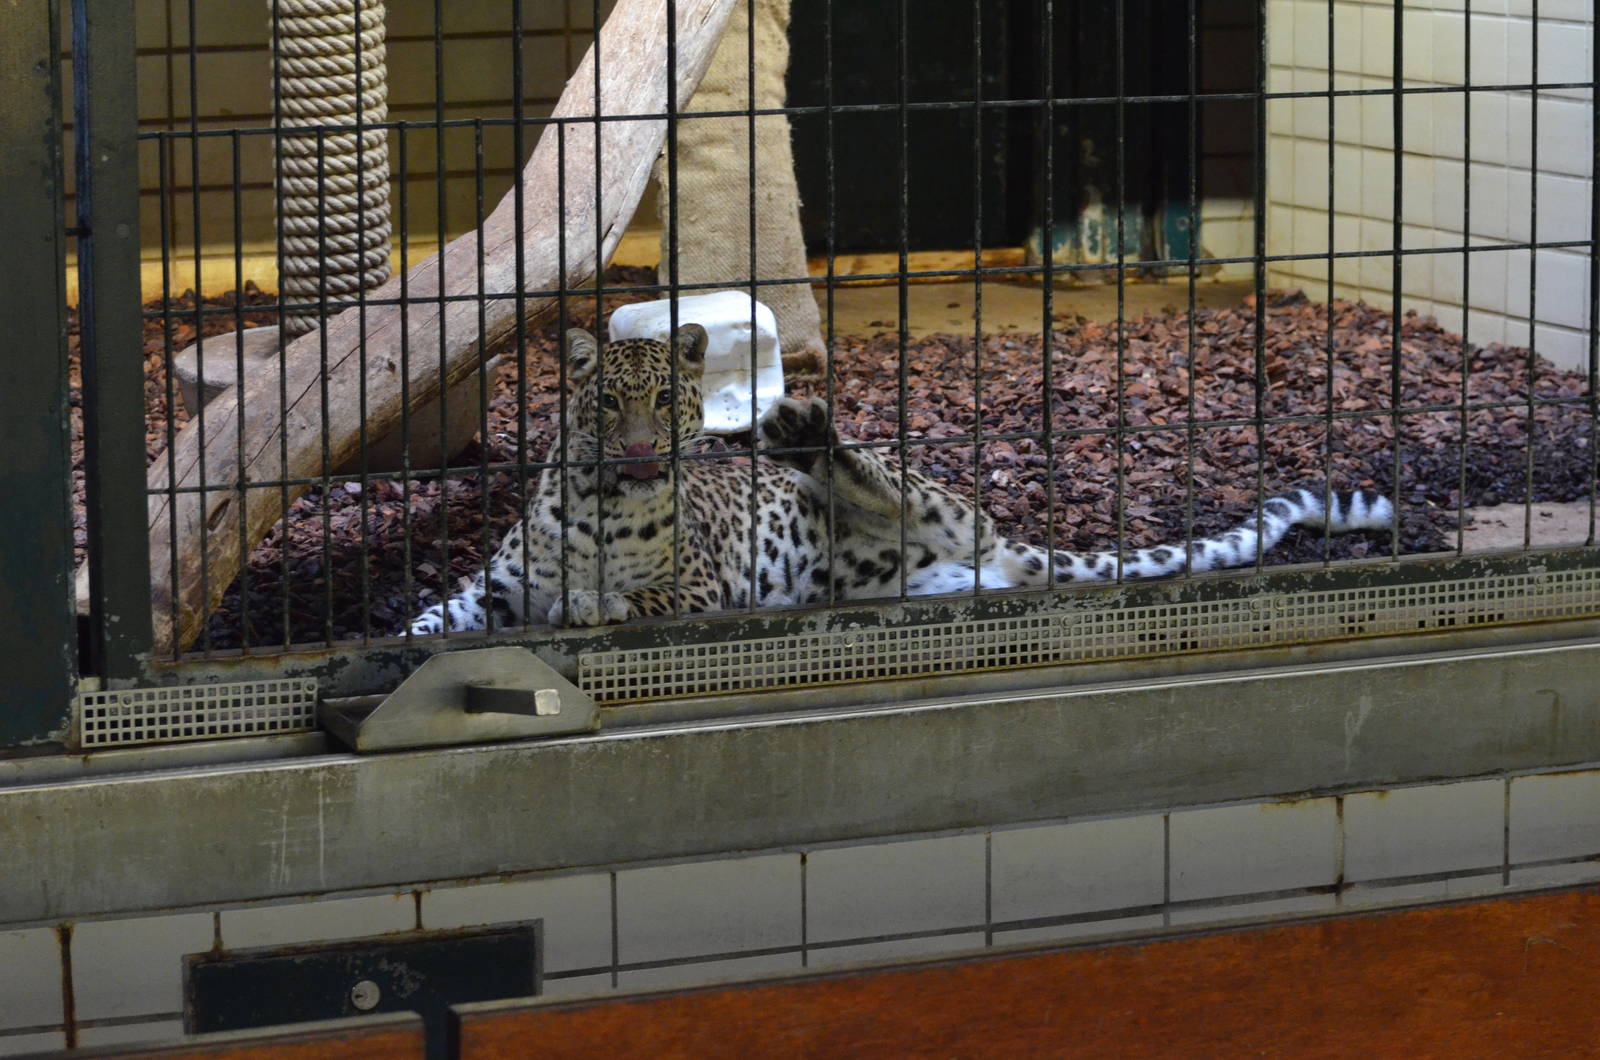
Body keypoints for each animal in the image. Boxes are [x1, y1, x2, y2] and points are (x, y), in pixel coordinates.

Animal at [408, 323, 1394, 634]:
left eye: (664, 400)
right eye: (610, 404)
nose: (647, 450)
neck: (598, 504)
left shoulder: (703, 586)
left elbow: (640, 595)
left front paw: (594, 602)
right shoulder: (492, 588)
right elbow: (434, 618)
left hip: (940, 506)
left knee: (903, 490)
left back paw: (804, 434)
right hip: (922, 585)